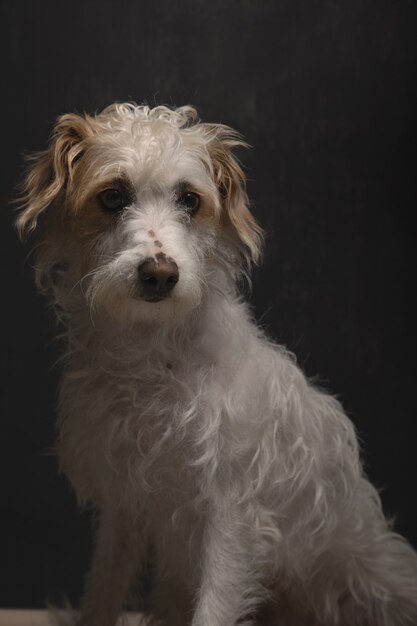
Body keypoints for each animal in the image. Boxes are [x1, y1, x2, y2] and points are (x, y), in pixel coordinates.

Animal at [17, 103, 416, 624]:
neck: (154, 357)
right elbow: (103, 592)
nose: (160, 274)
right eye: (112, 197)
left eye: (190, 200)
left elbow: (214, 609)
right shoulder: (123, 508)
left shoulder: (231, 518)